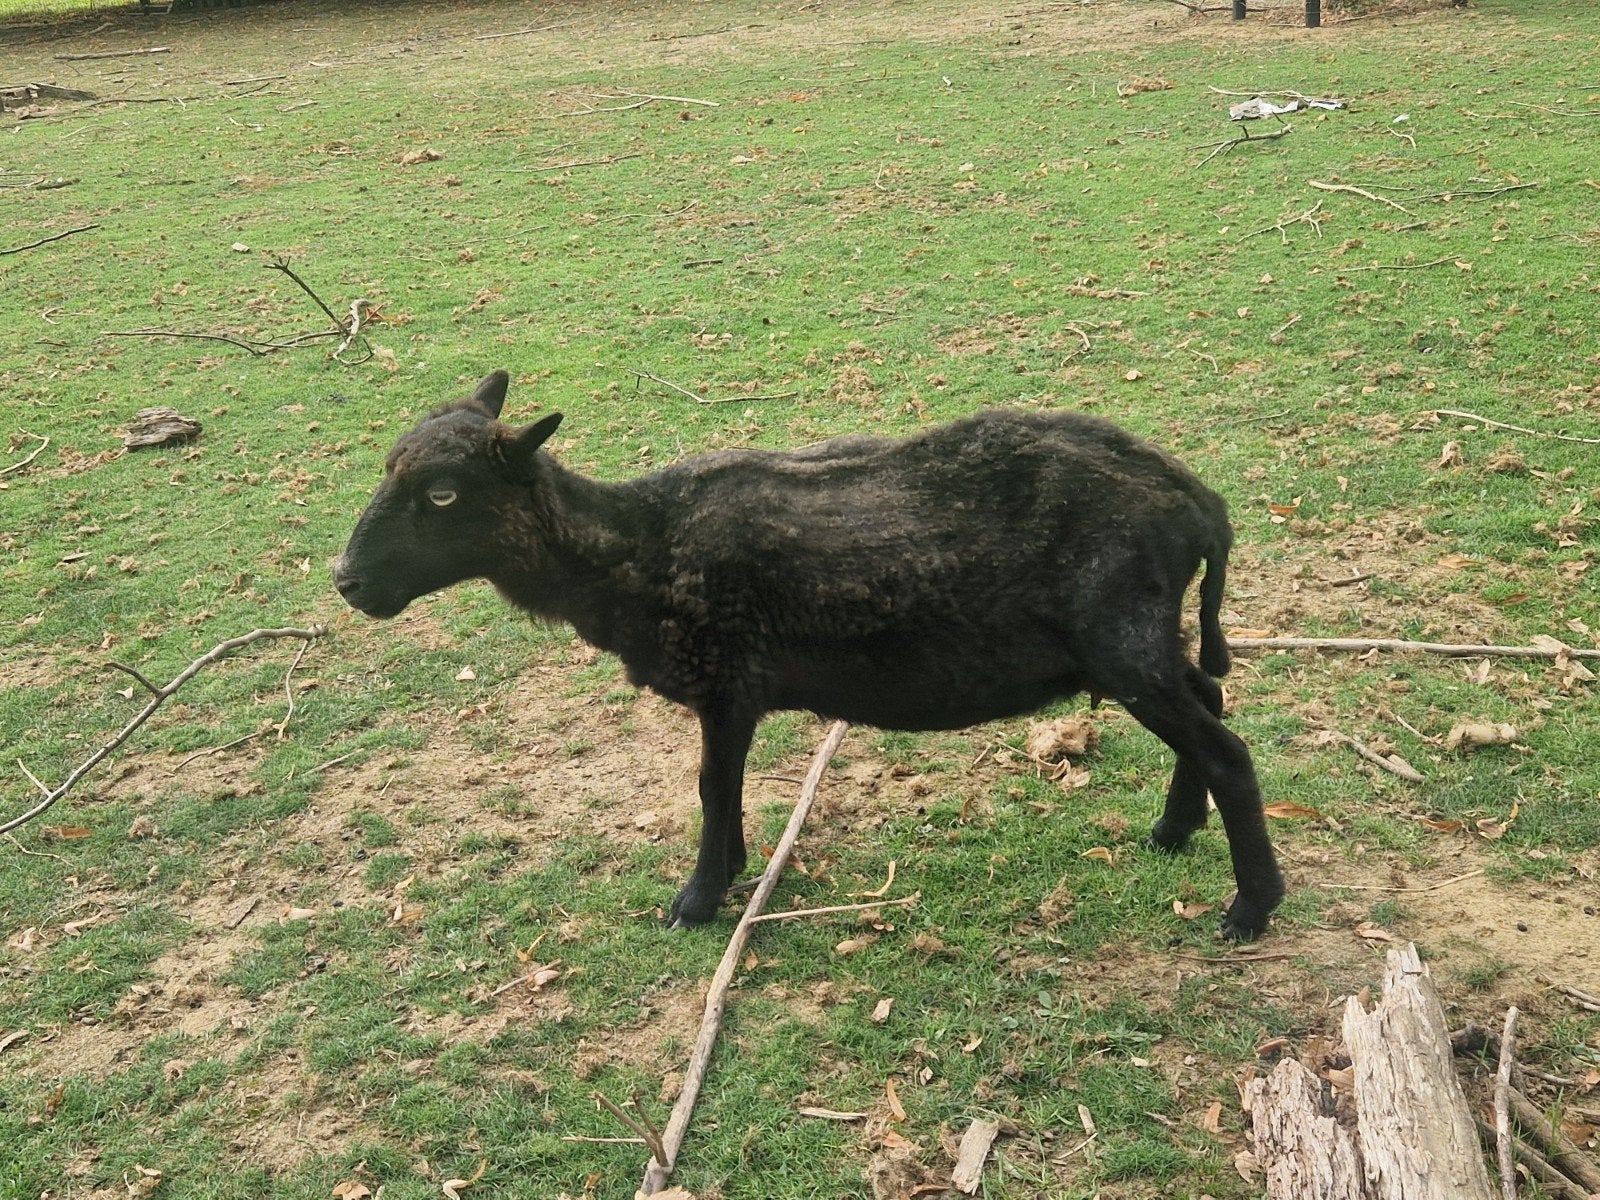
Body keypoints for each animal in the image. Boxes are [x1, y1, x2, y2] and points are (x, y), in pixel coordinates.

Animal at [334, 371, 1285, 940]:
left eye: (442, 494)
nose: (348, 581)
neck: (636, 547)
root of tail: (1198, 502)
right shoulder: (728, 693)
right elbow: (724, 788)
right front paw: (731, 871)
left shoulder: (724, 681)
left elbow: (711, 787)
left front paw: (697, 898)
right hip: (1144, 638)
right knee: (1211, 704)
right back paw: (1172, 830)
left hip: (1122, 637)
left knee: (1228, 751)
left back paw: (1250, 906)